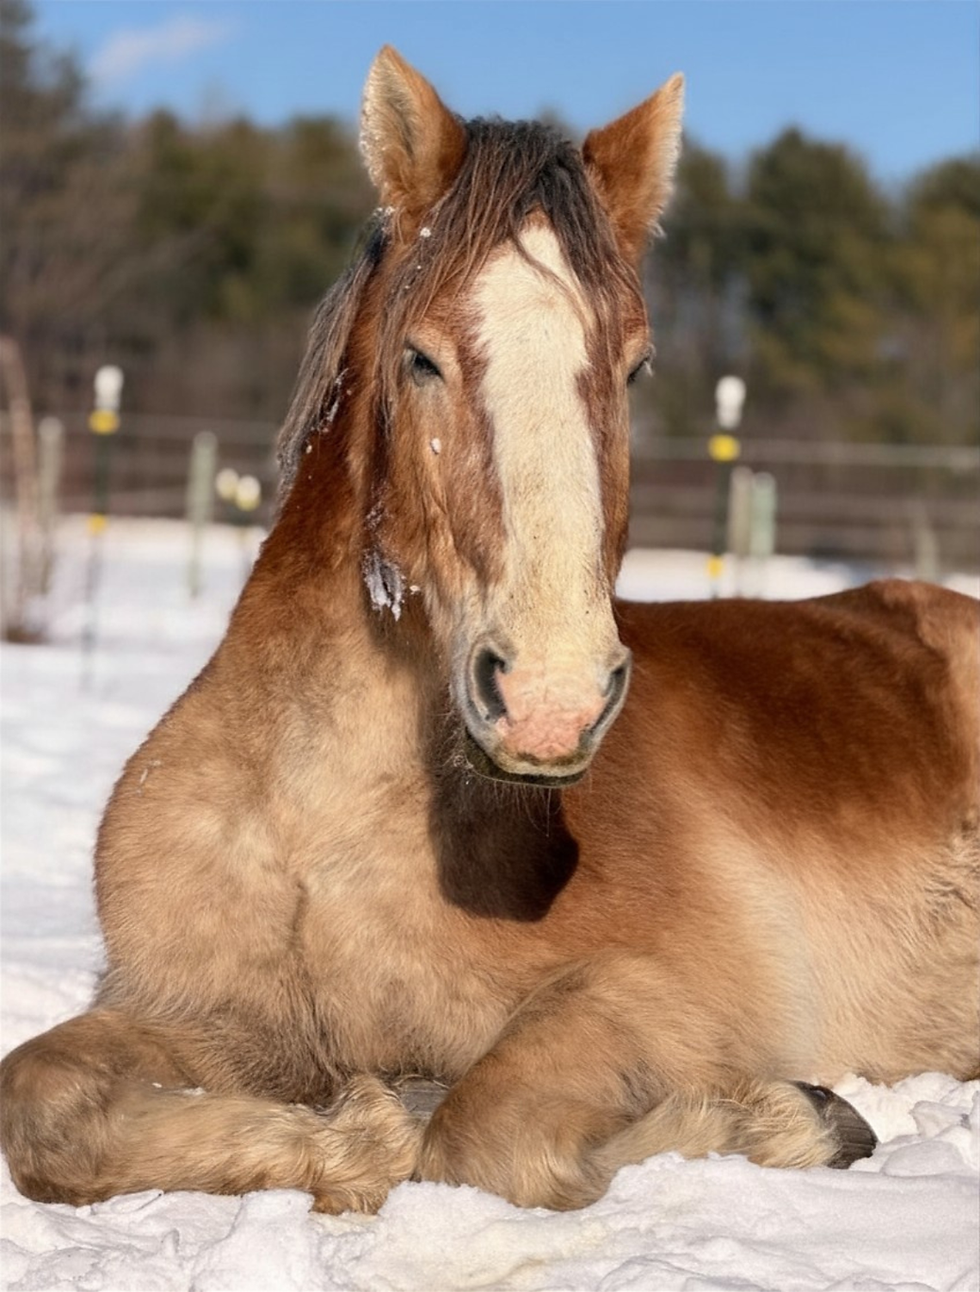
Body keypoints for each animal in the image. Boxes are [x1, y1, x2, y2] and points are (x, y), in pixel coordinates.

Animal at [2, 46, 978, 1216]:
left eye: (635, 366)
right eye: (420, 358)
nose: (552, 700)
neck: (321, 830)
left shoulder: (666, 992)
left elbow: (483, 1129)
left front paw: (797, 1118)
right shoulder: (201, 1016)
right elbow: (38, 1098)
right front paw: (355, 1131)